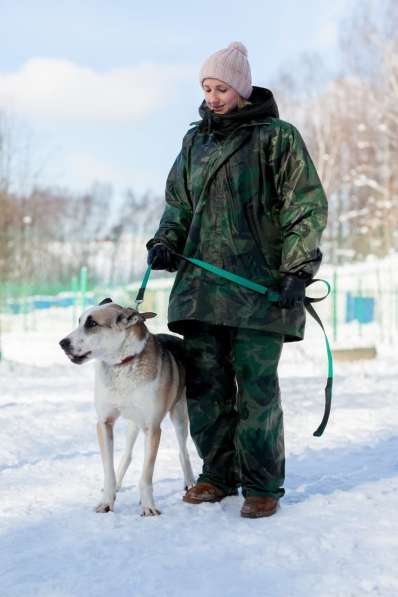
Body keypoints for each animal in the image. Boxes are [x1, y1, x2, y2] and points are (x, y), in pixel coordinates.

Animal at [59, 300, 196, 516]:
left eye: (92, 324)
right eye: (80, 321)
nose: (62, 343)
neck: (123, 365)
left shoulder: (152, 428)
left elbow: (147, 474)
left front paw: (149, 506)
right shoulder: (104, 423)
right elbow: (109, 470)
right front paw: (107, 501)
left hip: (180, 416)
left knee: (183, 452)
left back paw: (190, 483)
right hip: (133, 423)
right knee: (127, 454)